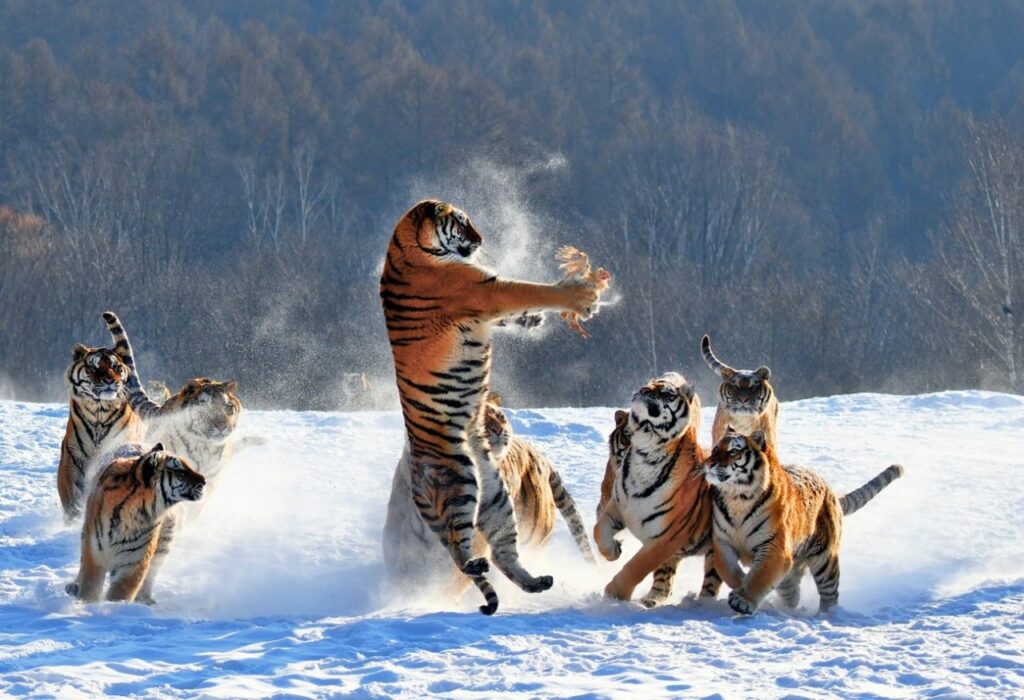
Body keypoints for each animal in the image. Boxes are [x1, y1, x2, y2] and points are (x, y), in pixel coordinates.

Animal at [57, 343, 145, 522]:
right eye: (94, 368)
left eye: (116, 367)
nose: (110, 380)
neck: (100, 410)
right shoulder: (73, 455)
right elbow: (71, 492)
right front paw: (74, 515)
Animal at [66, 442, 205, 604]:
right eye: (180, 472)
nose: (204, 481)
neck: (135, 512)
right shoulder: (95, 552)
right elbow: (90, 586)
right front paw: (86, 604)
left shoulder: (134, 562)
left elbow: (121, 593)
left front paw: (114, 606)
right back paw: (74, 586)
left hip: (164, 543)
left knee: (151, 573)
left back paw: (145, 599)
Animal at [380, 199, 605, 615]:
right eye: (462, 222)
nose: (481, 240)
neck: (406, 248)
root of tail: (414, 478)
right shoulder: (484, 290)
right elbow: (528, 290)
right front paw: (579, 295)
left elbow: (521, 306)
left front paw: (534, 319)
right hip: (460, 480)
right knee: (458, 550)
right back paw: (475, 565)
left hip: (497, 499)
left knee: (502, 555)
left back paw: (537, 581)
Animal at [593, 373, 721, 607]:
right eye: (646, 386)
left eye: (666, 393)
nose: (643, 390)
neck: (645, 454)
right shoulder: (618, 506)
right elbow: (599, 531)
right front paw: (614, 551)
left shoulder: (666, 537)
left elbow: (637, 566)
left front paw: (615, 594)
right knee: (666, 581)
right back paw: (652, 599)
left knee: (712, 579)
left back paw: (700, 604)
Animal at [703, 429, 904, 614]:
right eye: (715, 448)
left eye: (733, 451)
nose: (709, 463)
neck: (737, 498)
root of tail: (831, 491)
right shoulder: (722, 542)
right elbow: (728, 571)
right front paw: (741, 584)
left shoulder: (774, 546)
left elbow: (760, 576)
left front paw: (742, 601)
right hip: (791, 574)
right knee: (792, 594)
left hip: (825, 559)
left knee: (830, 593)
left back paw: (827, 615)